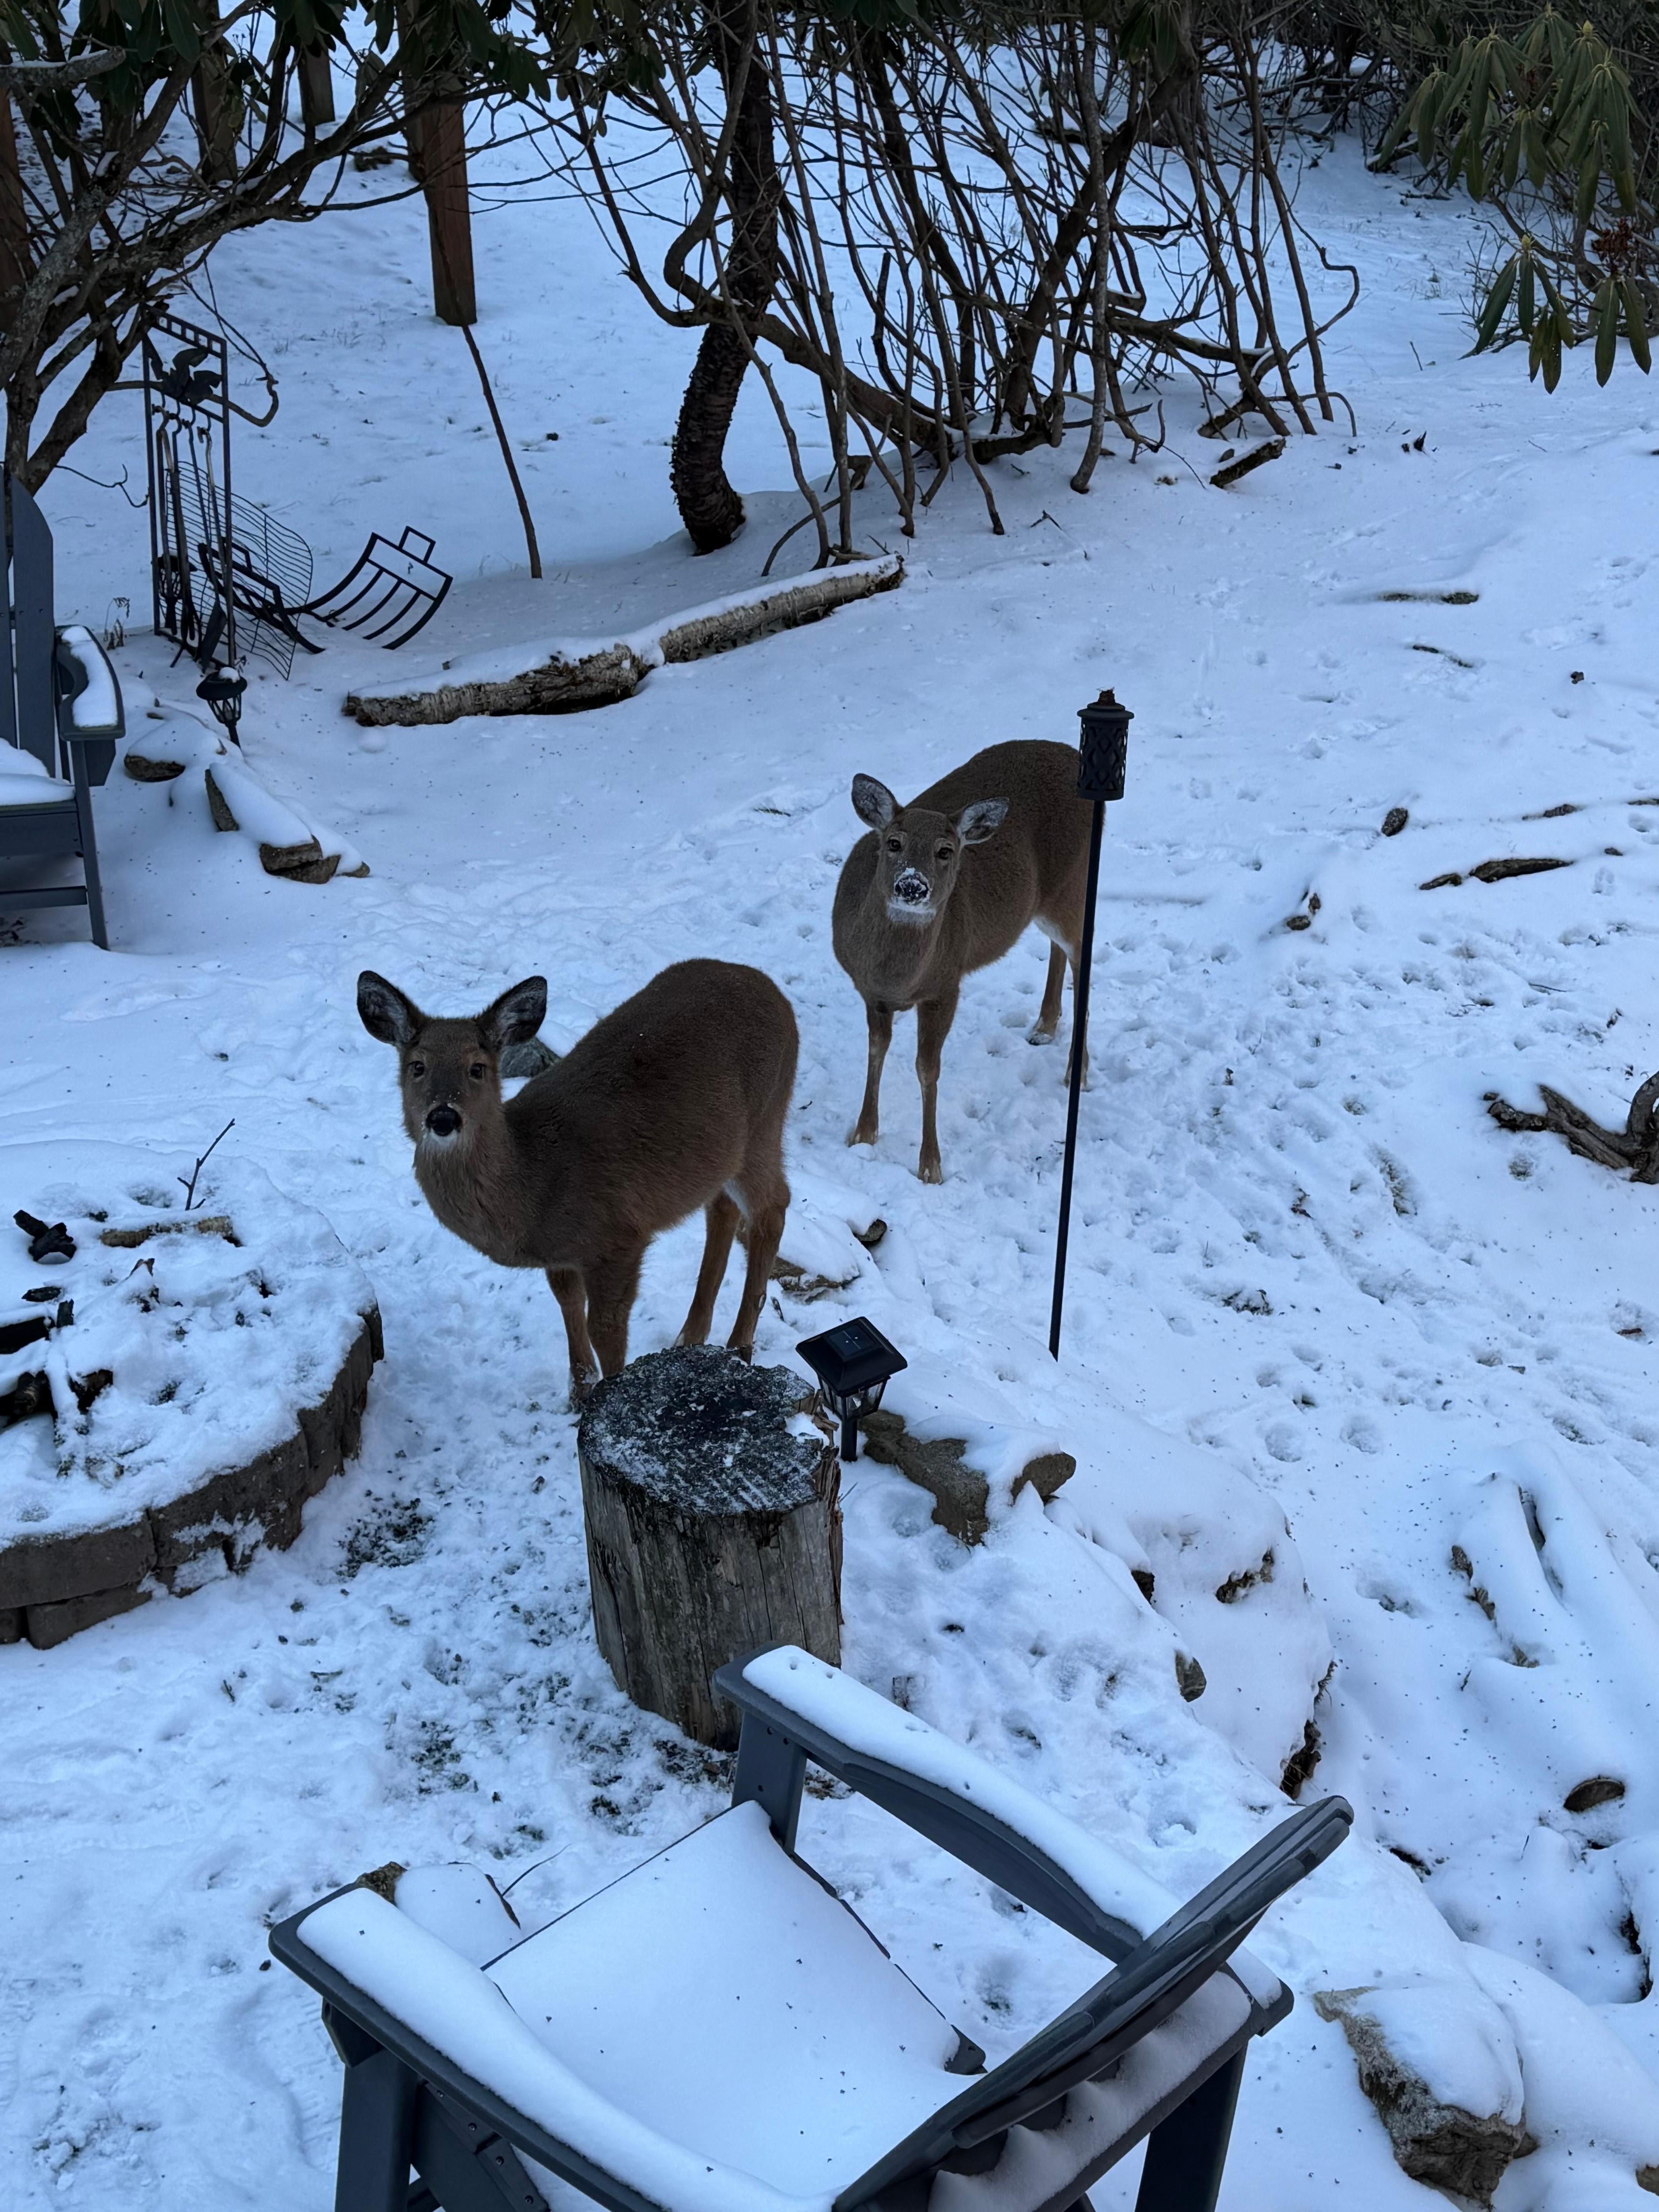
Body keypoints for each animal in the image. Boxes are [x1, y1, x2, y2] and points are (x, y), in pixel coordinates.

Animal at [356, 960, 797, 1406]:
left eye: (477, 1068)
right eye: (417, 1066)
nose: (443, 1117)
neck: (533, 1186)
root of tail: (771, 988)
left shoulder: (619, 1236)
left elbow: (605, 1327)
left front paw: (613, 1394)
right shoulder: (563, 1254)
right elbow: (567, 1301)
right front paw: (580, 1391)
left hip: (766, 1120)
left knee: (773, 1208)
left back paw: (739, 1348)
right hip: (724, 1154)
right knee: (722, 1208)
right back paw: (689, 1339)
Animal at [831, 739, 1095, 1183]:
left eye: (946, 851)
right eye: (893, 843)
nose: (912, 886)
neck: (898, 978)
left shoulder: (946, 985)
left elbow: (927, 1068)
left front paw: (930, 1166)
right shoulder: (869, 992)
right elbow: (876, 1050)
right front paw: (863, 1136)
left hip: (1074, 882)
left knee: (1083, 956)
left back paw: (1079, 1073)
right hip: (1046, 901)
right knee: (1060, 950)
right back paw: (1043, 1027)